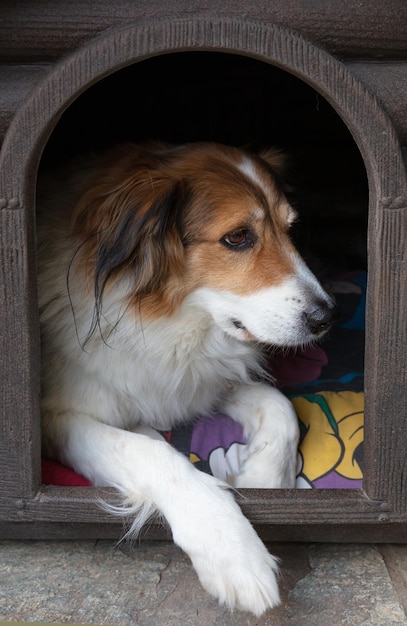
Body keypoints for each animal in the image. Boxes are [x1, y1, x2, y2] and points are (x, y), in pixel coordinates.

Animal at [37, 141, 338, 616]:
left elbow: (281, 407)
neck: (173, 322)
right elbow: (149, 451)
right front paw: (231, 548)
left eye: (290, 229)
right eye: (237, 237)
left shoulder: (198, 381)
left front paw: (266, 482)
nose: (327, 317)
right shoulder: (59, 416)